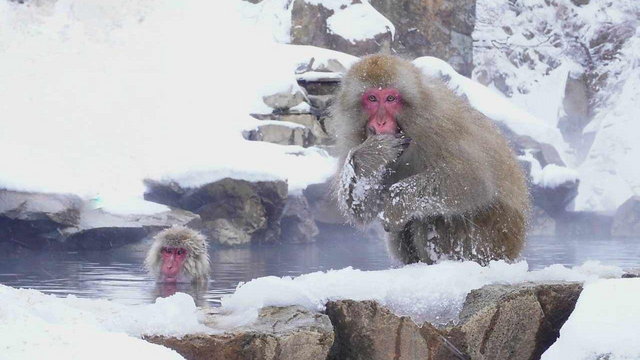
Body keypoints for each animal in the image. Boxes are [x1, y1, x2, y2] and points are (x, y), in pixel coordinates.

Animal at [332, 54, 528, 266]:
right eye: (372, 98)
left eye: (391, 98)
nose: (381, 122)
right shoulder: (353, 138)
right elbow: (361, 208)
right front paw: (371, 153)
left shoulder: (439, 124)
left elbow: (473, 181)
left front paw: (397, 200)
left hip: (488, 240)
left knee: (431, 216)